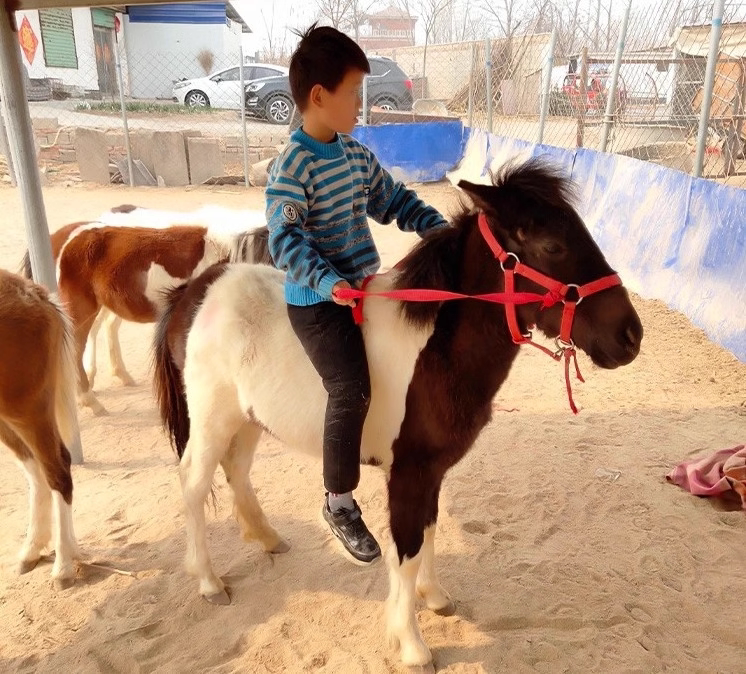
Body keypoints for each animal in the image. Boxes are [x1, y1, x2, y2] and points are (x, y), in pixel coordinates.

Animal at [0, 269, 81, 588]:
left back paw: (64, 564)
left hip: (27, 412)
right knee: (37, 471)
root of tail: (35, 293)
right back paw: (36, 548)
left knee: (57, 470)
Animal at [152, 159, 643, 668]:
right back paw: (208, 581)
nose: (631, 336)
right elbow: (406, 550)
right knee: (194, 482)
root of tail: (194, 290)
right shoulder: (408, 473)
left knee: (237, 470)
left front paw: (435, 596)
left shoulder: (432, 472)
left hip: (248, 419)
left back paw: (267, 537)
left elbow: (429, 532)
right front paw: (411, 643)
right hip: (211, 419)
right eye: (552, 246)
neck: (434, 351)